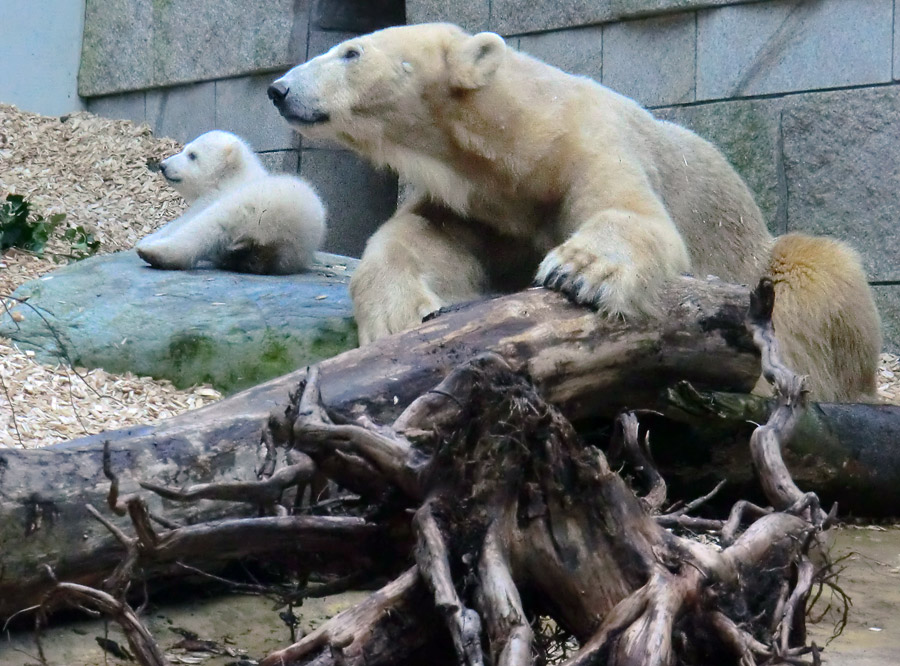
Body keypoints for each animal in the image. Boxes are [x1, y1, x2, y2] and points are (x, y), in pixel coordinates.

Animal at [270, 22, 884, 400]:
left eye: (350, 52)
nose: (278, 88)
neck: (517, 143)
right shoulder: (478, 204)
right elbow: (421, 238)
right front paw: (399, 315)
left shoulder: (588, 145)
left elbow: (634, 212)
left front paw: (580, 271)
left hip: (766, 262)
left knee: (818, 277)